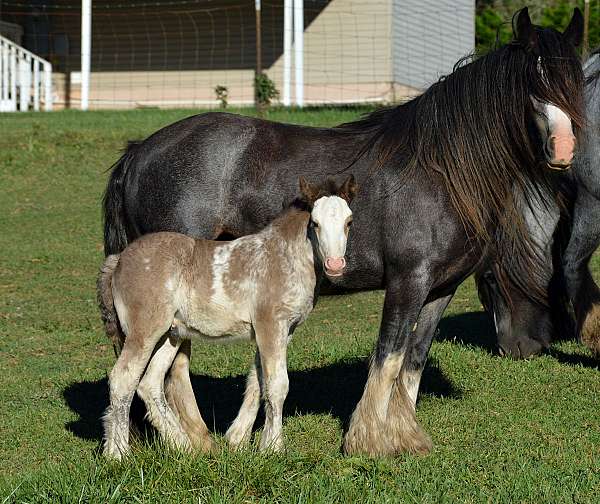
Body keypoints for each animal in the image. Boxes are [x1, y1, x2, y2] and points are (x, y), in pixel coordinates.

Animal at [97, 175, 356, 458]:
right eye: (315, 223)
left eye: (349, 221)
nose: (335, 265)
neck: (284, 257)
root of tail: (119, 260)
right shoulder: (271, 325)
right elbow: (278, 385)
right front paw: (275, 449)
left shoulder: (282, 331)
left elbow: (259, 381)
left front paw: (252, 443)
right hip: (144, 331)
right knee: (123, 379)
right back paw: (118, 454)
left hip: (170, 334)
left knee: (149, 384)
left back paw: (183, 447)